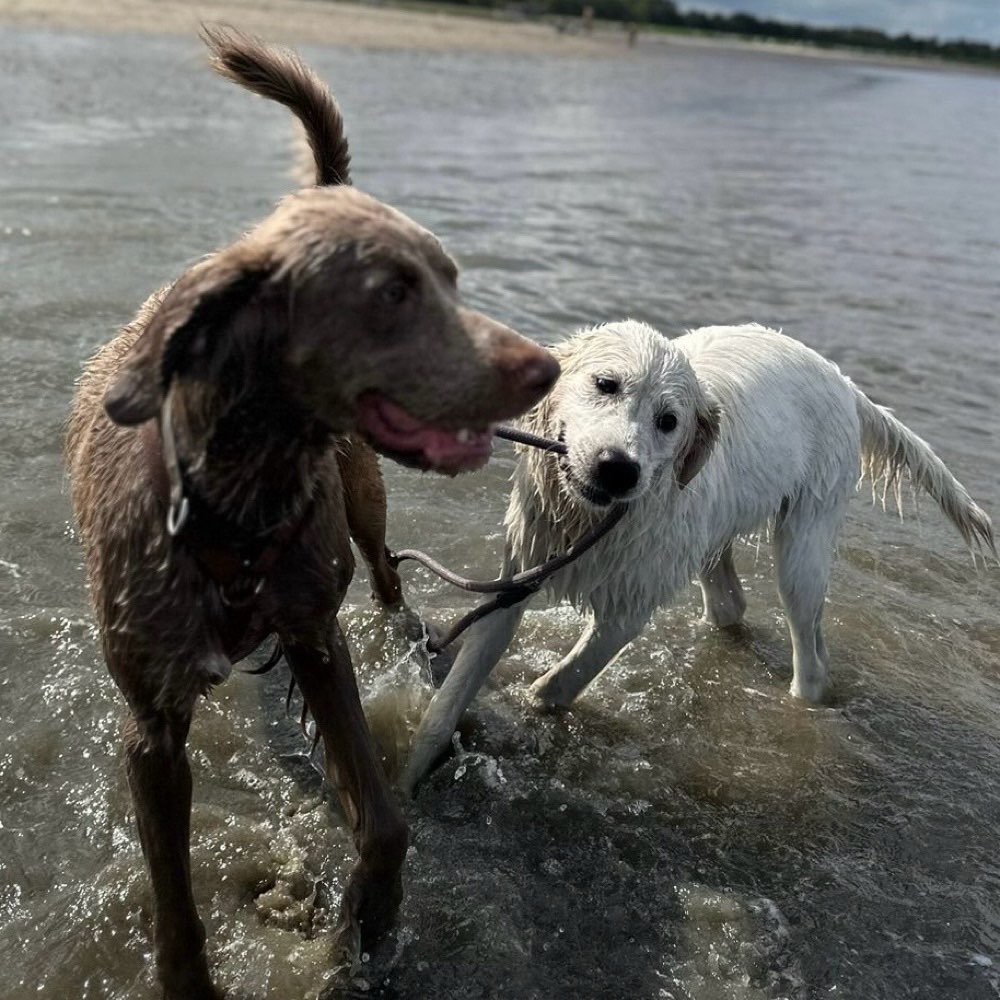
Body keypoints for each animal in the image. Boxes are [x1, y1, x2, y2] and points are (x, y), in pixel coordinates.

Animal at [66, 27, 560, 996]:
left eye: (450, 279)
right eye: (391, 291)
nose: (548, 368)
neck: (236, 512)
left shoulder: (315, 637)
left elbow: (385, 822)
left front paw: (371, 922)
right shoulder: (152, 726)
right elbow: (174, 905)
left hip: (364, 498)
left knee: (385, 572)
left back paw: (410, 628)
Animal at [402, 320, 996, 788]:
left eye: (669, 421)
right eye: (605, 384)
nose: (619, 469)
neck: (591, 520)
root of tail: (846, 384)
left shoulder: (627, 609)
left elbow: (558, 685)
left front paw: (532, 708)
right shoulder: (515, 578)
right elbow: (451, 699)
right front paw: (409, 777)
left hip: (803, 546)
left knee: (809, 650)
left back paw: (803, 699)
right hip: (712, 535)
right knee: (731, 604)